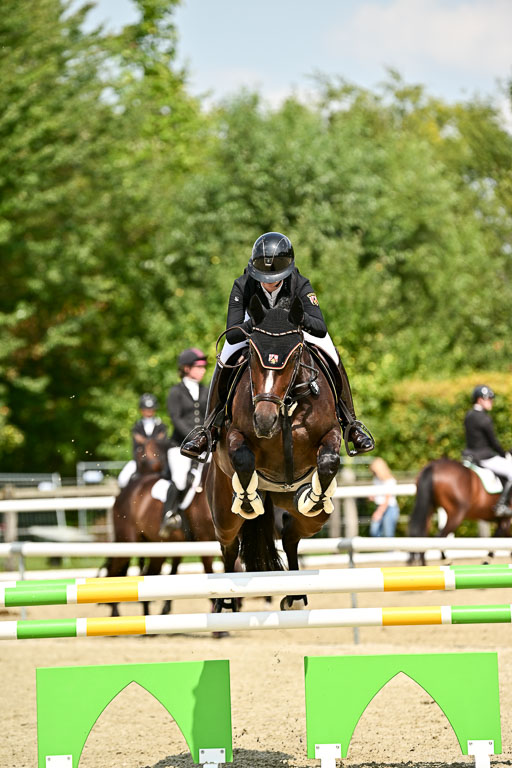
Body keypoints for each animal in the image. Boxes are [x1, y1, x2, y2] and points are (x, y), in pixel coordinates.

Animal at [104, 435, 216, 616]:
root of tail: (125, 491)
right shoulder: (205, 542)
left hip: (156, 548)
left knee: (148, 577)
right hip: (127, 541)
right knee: (115, 572)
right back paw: (115, 615)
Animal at [206, 295, 343, 611]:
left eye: (294, 355)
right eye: (253, 355)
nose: (264, 420)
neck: (288, 404)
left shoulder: (332, 433)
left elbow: (329, 460)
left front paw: (315, 496)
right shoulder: (235, 434)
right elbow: (243, 459)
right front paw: (247, 500)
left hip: (314, 519)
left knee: (292, 535)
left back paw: (295, 595)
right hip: (222, 511)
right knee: (229, 546)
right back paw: (225, 602)